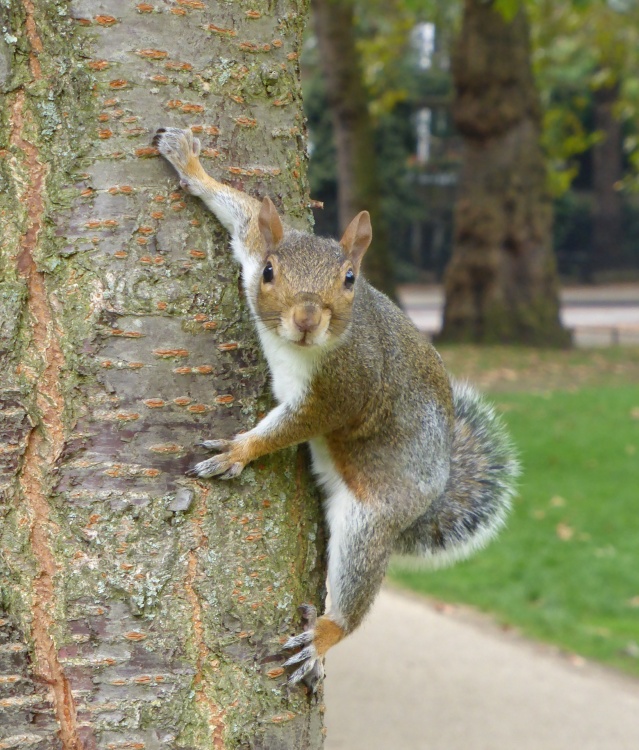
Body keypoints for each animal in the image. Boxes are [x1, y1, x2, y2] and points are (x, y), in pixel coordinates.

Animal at [153, 127, 520, 691]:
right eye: (269, 272)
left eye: (350, 279)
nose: (306, 318)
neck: (302, 347)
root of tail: (429, 500)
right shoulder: (254, 245)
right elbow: (241, 214)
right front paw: (191, 165)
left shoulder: (341, 391)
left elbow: (291, 426)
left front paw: (240, 450)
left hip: (371, 519)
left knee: (356, 588)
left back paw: (325, 635)